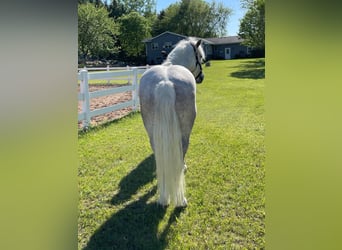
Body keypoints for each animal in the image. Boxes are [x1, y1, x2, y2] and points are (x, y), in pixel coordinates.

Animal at [138, 38, 204, 207]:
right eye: (200, 58)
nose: (201, 77)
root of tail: (165, 82)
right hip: (185, 130)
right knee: (183, 147)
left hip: (151, 130)